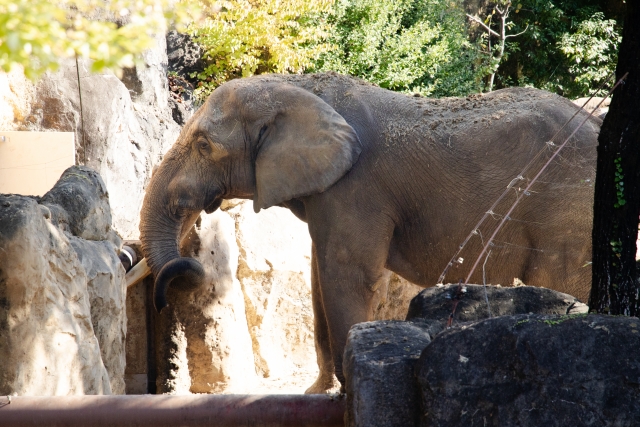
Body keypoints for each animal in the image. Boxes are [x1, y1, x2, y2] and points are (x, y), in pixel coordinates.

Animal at [140, 71, 600, 394]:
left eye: (204, 146)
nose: (192, 270)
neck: (297, 86)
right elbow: (319, 281)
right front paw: (318, 393)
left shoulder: (356, 187)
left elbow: (347, 277)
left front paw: (347, 392)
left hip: (565, 207)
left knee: (561, 277)